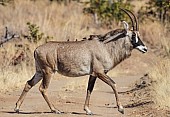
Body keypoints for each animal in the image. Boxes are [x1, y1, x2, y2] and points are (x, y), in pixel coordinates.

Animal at [14, 8, 147, 114]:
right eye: (133, 35)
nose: (145, 48)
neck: (105, 47)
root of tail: (36, 49)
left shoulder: (93, 74)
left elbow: (89, 89)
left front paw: (87, 110)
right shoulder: (100, 72)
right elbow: (113, 84)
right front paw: (121, 108)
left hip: (40, 72)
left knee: (29, 83)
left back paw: (17, 108)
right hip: (48, 71)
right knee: (43, 88)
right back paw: (55, 109)